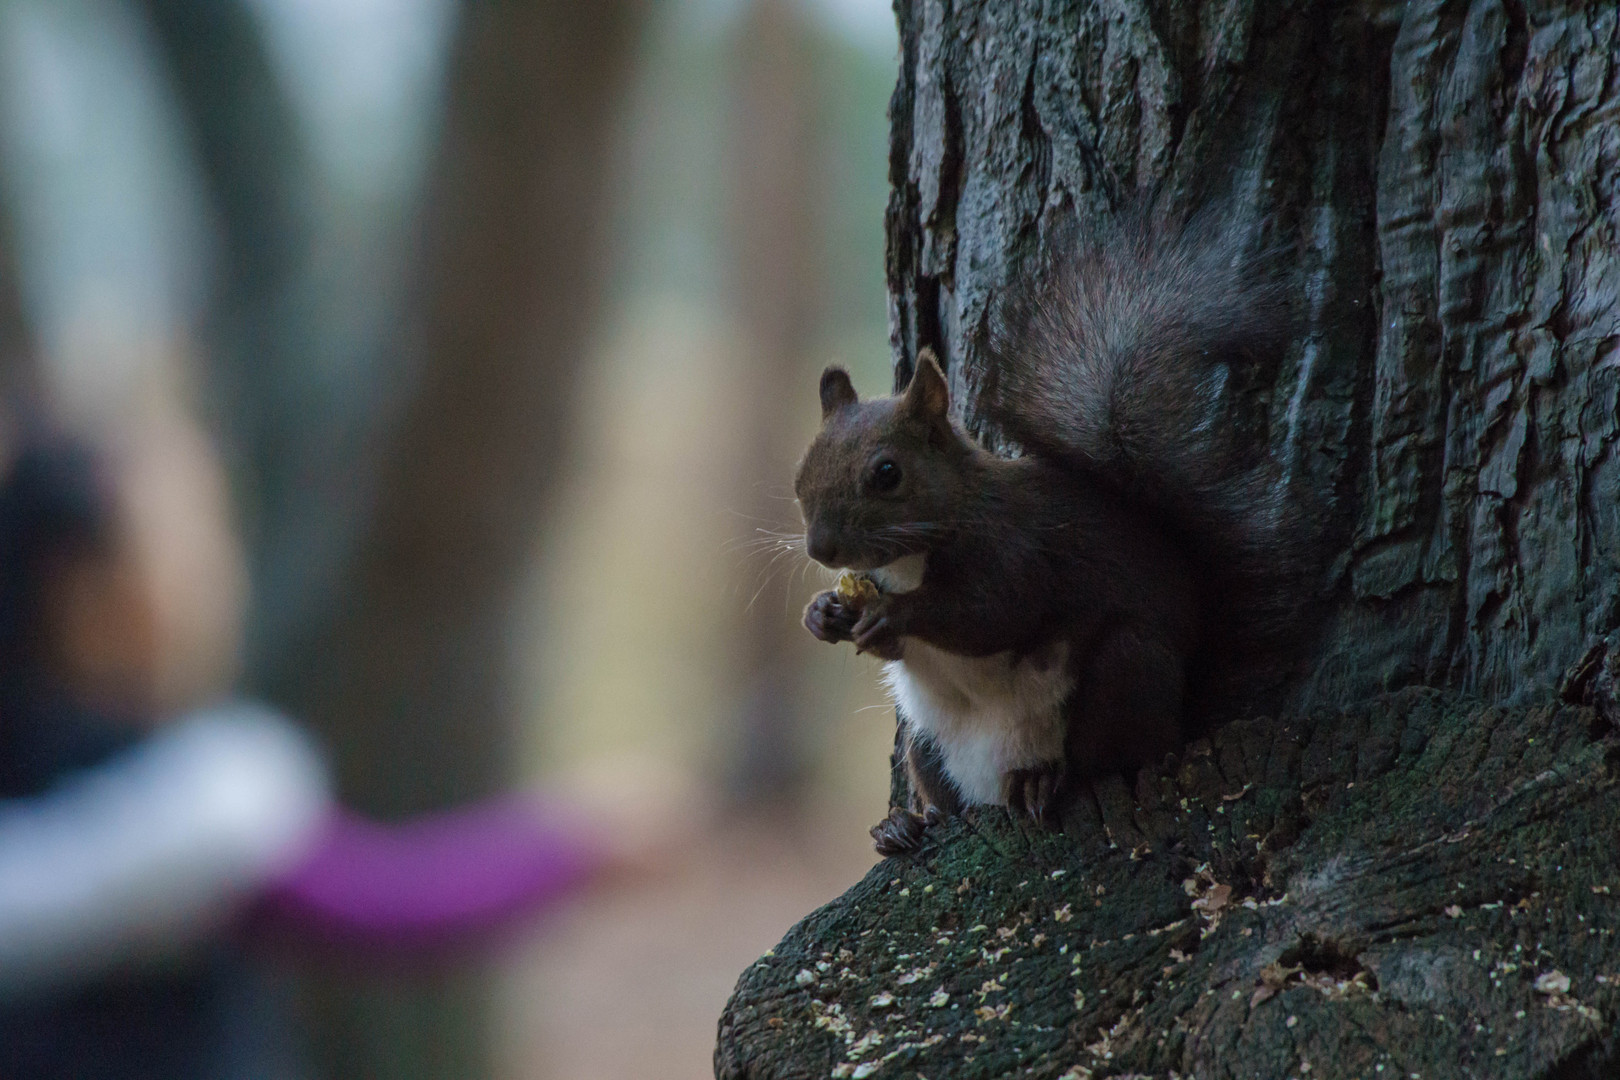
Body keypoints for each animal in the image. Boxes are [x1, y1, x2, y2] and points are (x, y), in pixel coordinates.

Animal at [793, 213, 1315, 856]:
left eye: (887, 474)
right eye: (801, 475)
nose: (821, 549)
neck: (911, 558)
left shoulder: (1015, 549)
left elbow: (993, 614)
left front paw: (894, 615)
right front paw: (824, 614)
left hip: (1126, 670)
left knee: (1111, 756)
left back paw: (1045, 780)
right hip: (927, 742)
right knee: (948, 798)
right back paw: (908, 824)